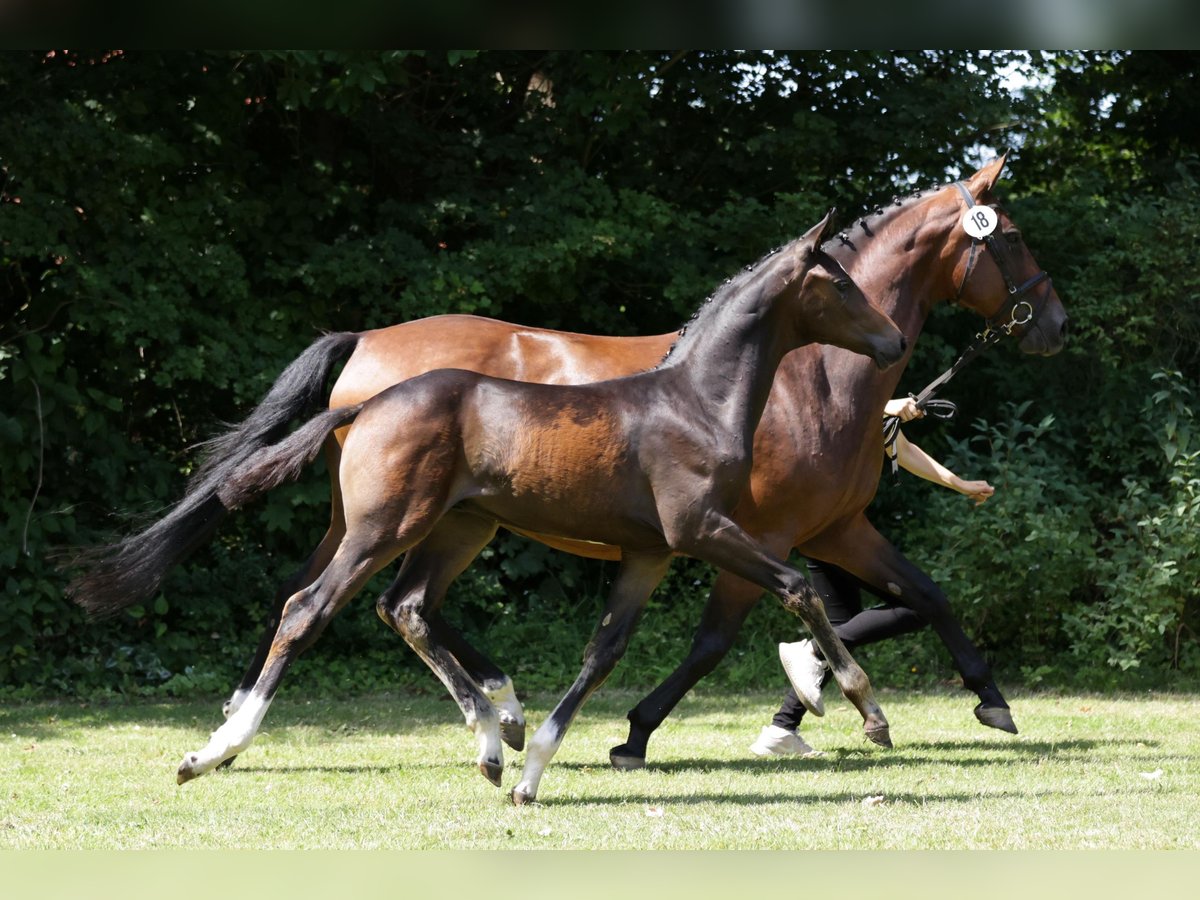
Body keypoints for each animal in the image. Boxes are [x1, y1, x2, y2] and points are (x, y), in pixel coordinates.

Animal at [162, 213, 902, 801]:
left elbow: (603, 652)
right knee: (308, 608)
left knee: (406, 608)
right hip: (382, 527)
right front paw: (868, 708)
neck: (696, 402)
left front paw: (533, 772)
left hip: (456, 529)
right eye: (841, 284)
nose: (894, 341)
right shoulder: (707, 530)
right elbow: (798, 587)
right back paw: (214, 751)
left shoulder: (650, 553)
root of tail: (365, 403)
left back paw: (494, 742)